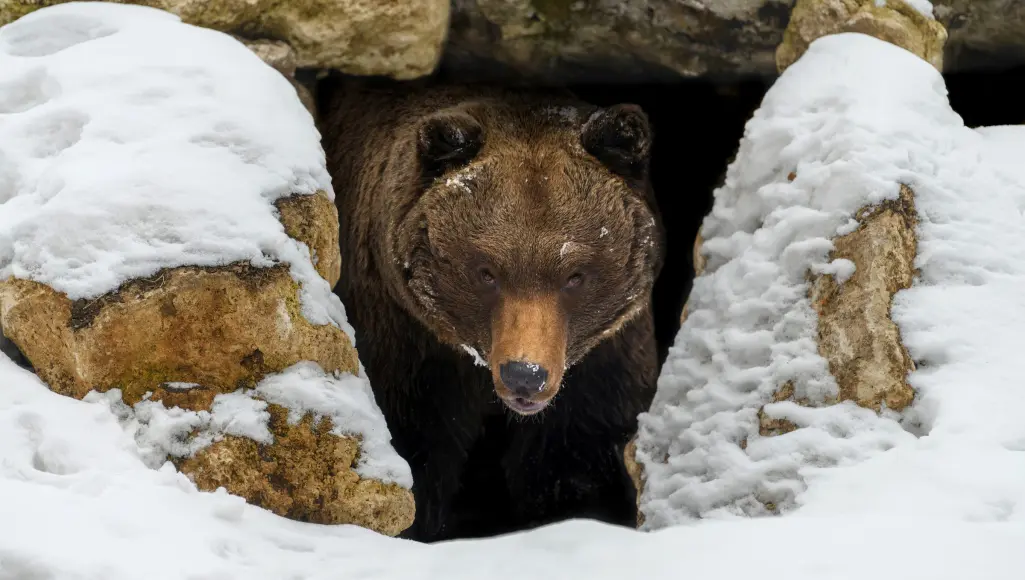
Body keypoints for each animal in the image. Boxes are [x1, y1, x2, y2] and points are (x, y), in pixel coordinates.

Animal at [319, 78, 664, 545]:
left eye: (575, 275)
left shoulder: (601, 367)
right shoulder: (409, 347)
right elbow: (416, 451)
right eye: (487, 271)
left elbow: (577, 463)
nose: (525, 374)